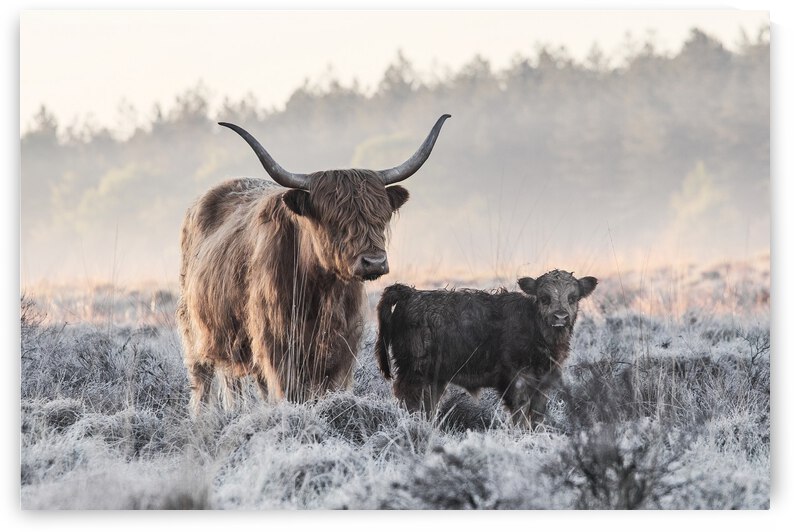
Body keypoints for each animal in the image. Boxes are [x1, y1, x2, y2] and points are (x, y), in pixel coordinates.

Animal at [177, 115, 451, 414]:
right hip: (195, 332)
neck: (322, 291)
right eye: (334, 221)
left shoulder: (342, 350)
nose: (374, 262)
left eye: (380, 217)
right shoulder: (277, 347)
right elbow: (289, 393)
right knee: (202, 382)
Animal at [375, 270, 597, 429]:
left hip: (435, 378)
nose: (560, 317)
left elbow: (537, 415)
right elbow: (520, 412)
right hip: (414, 371)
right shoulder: (516, 379)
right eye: (544, 297)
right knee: (410, 401)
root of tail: (410, 294)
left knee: (428, 405)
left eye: (573, 298)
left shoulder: (543, 381)